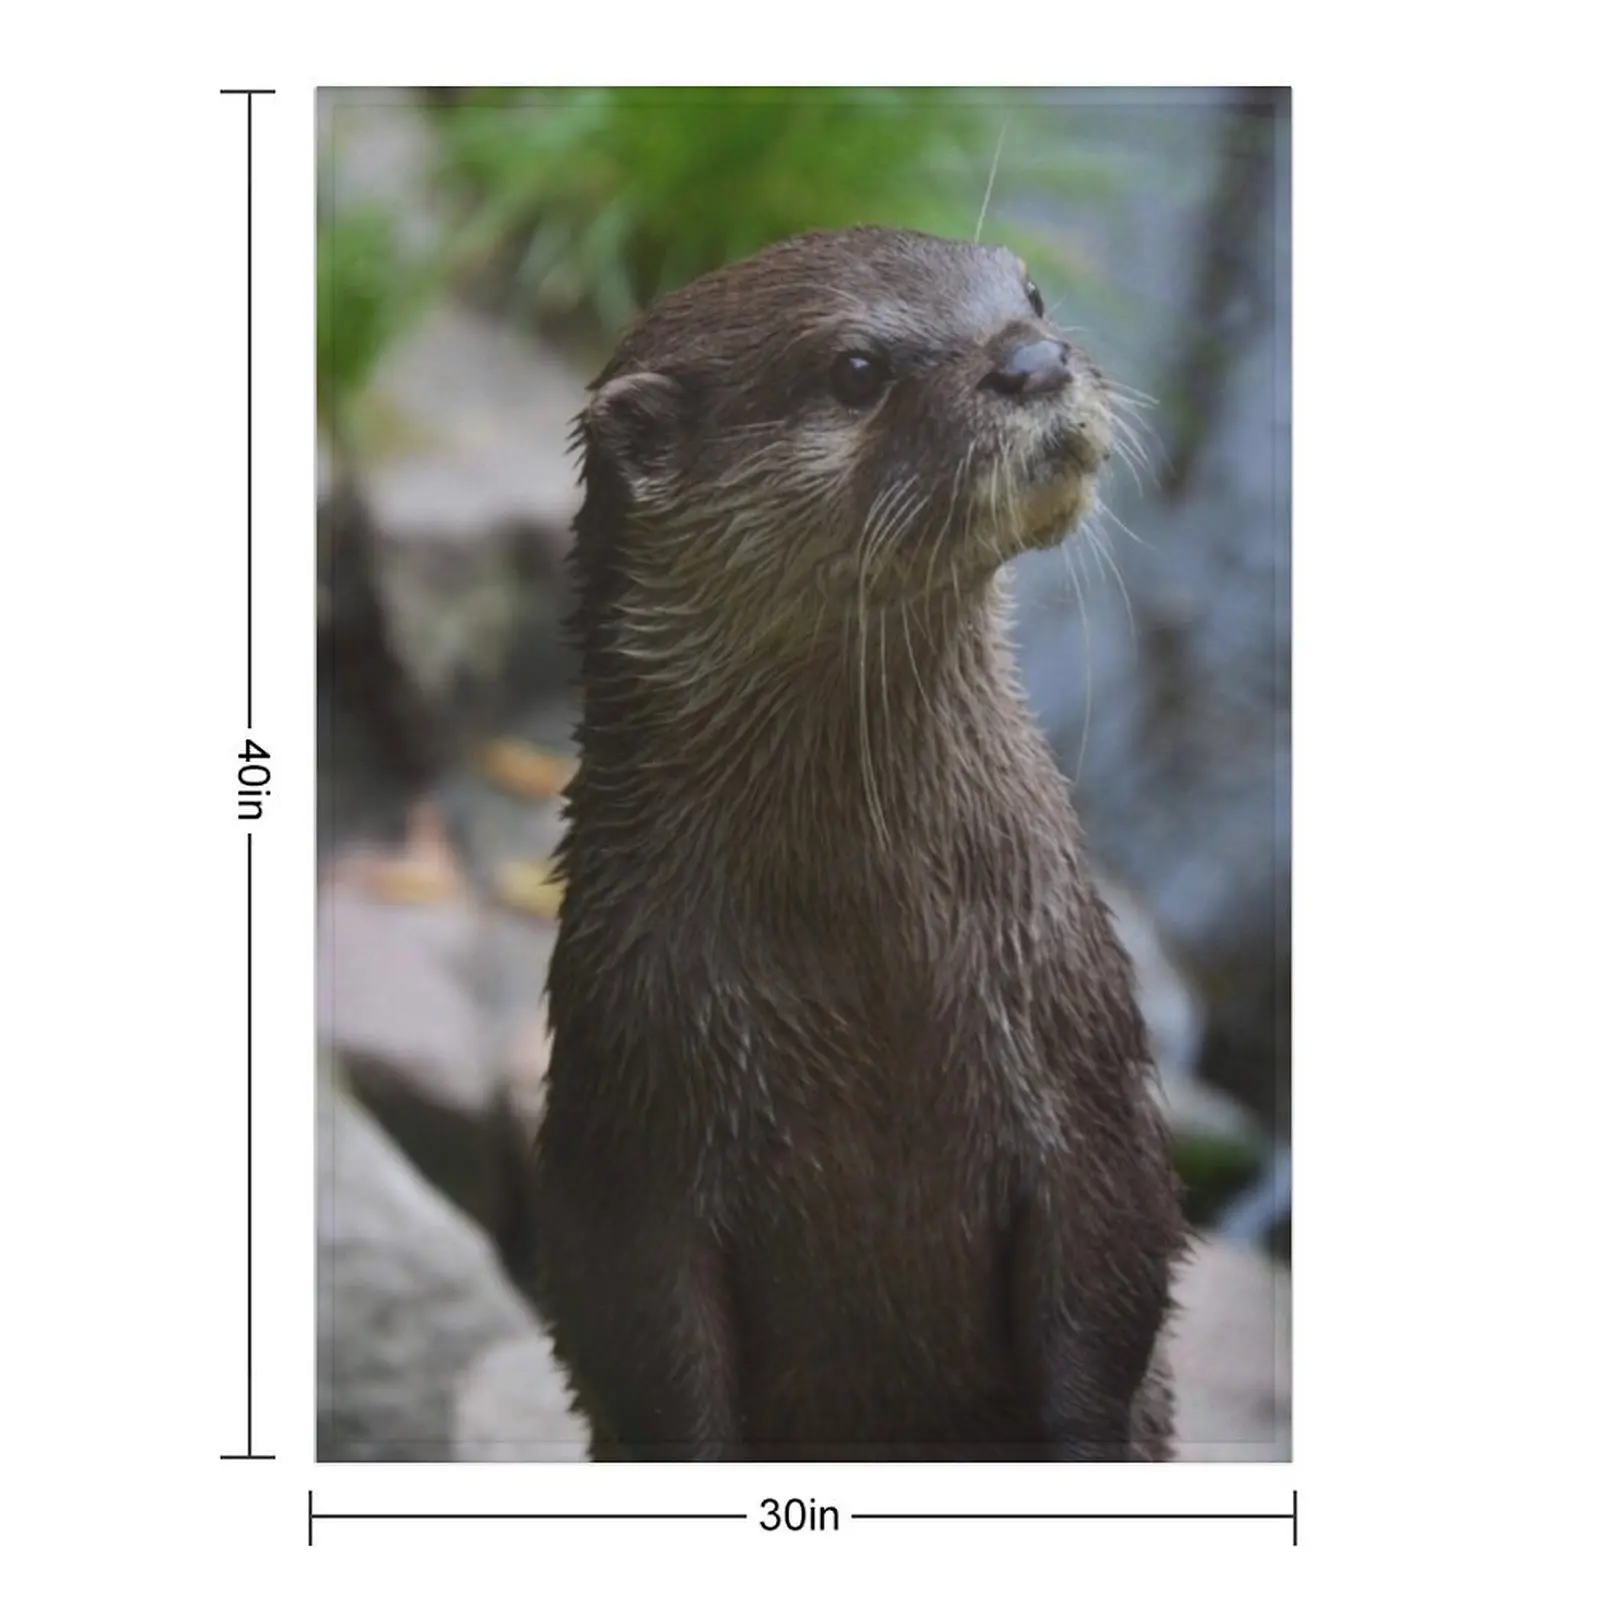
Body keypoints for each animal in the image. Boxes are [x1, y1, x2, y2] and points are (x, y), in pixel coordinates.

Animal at [532, 226, 1185, 1461]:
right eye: (855, 369)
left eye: (1029, 294)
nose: (1034, 361)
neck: (879, 966)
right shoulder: (626, 1123)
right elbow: (650, 1373)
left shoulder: (1086, 1073)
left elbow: (1109, 1297)